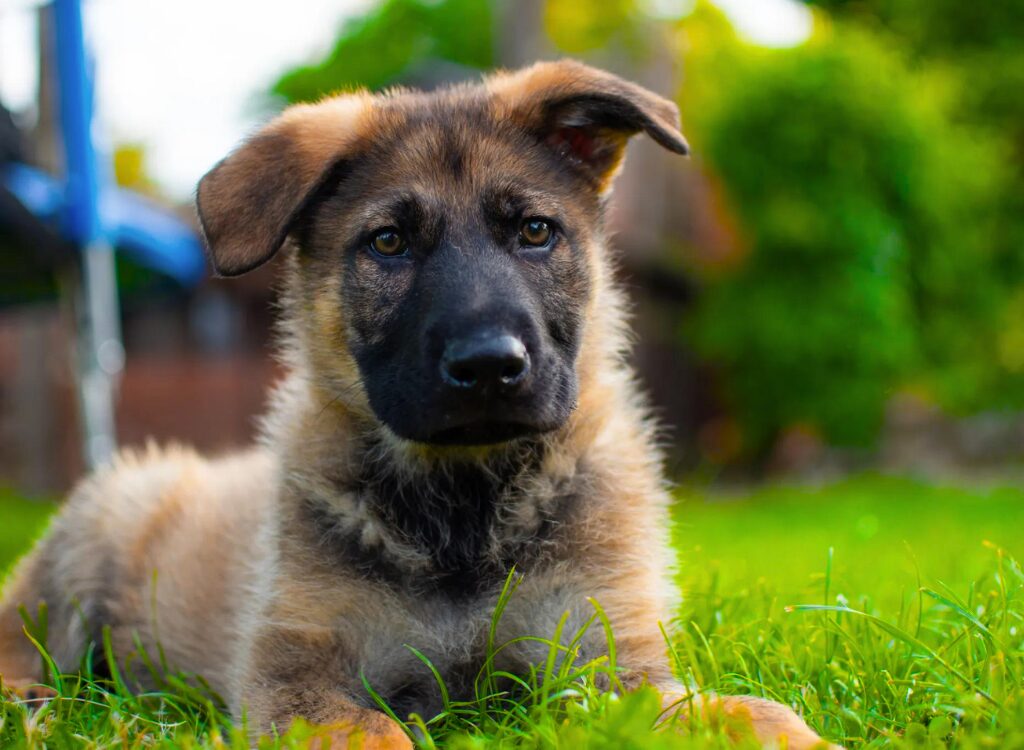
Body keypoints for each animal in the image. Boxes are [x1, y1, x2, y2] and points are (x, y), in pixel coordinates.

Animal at [0, 59, 831, 750]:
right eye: (389, 242)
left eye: (535, 231)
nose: (490, 364)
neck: (462, 507)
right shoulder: (295, 672)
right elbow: (374, 732)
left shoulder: (604, 662)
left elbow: (724, 711)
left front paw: (778, 728)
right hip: (93, 540)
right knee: (19, 632)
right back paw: (29, 702)